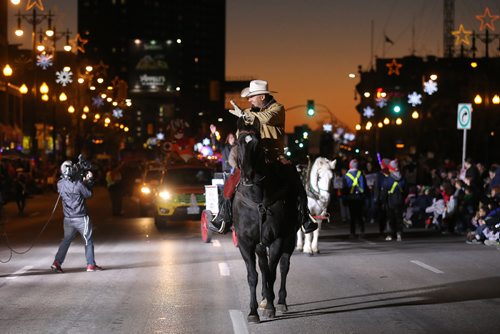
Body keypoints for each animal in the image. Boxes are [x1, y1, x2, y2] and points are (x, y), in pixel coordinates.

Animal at [232, 116, 298, 322]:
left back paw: (280, 301)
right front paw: (253, 311)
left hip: (290, 239)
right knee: (263, 267)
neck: (258, 197)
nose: (248, 176)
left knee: (283, 267)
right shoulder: (246, 242)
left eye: (258, 144)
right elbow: (253, 275)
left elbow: (271, 274)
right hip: (260, 245)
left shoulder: (277, 239)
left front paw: (270, 306)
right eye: (238, 143)